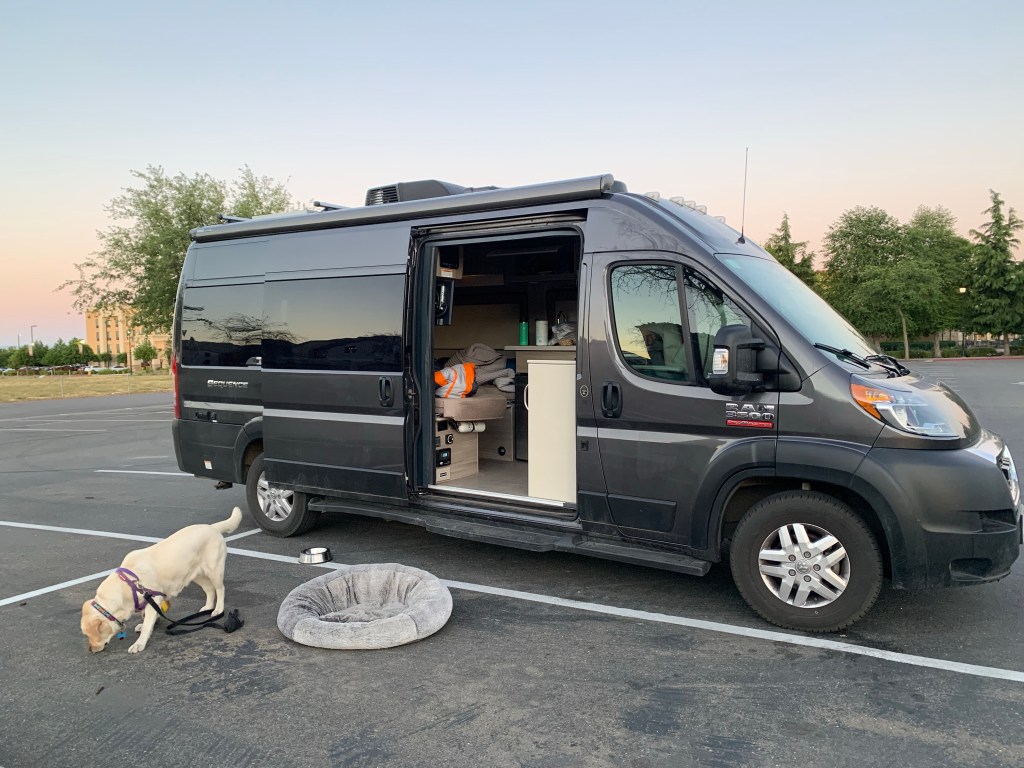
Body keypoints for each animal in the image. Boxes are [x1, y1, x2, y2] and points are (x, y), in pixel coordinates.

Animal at [81, 507, 242, 654]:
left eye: (89, 635)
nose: (90, 649)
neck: (127, 584)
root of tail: (212, 527)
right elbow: (148, 617)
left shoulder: (153, 597)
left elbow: (147, 623)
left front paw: (139, 643)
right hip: (195, 575)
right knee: (209, 589)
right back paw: (208, 607)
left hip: (214, 570)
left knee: (220, 589)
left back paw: (217, 609)